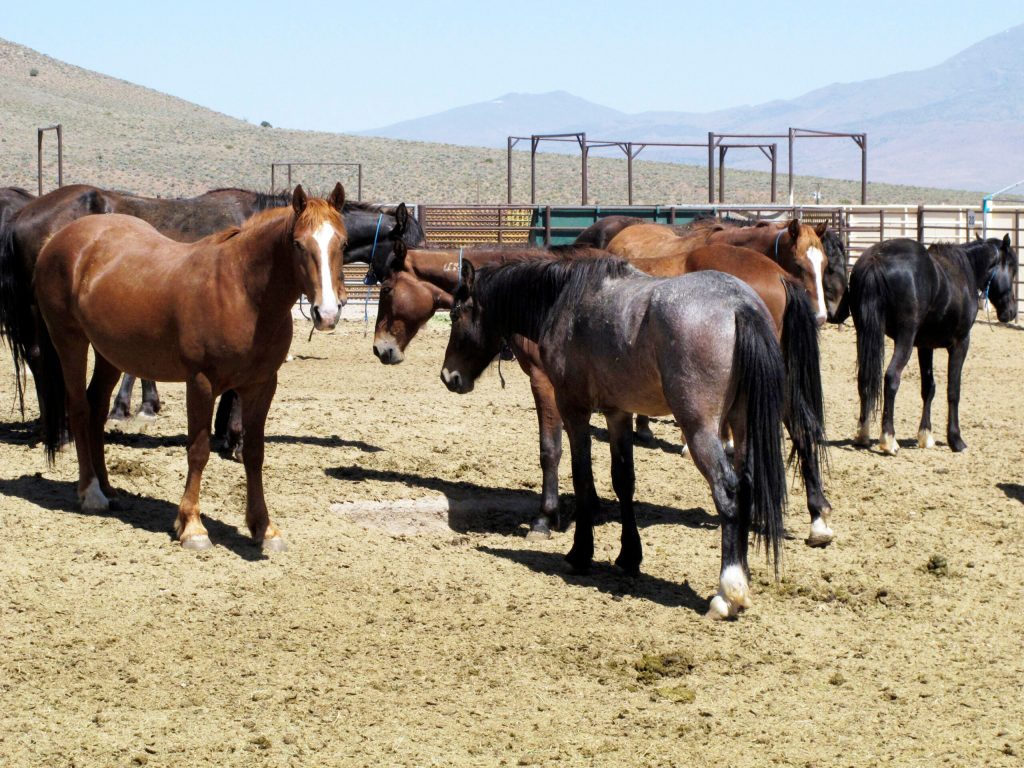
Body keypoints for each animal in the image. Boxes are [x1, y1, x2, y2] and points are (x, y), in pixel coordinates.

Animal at [33, 184, 348, 550]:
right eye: (298, 244)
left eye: (342, 243)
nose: (327, 313)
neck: (242, 290)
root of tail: (58, 239)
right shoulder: (201, 382)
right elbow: (198, 451)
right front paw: (192, 527)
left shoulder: (261, 385)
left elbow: (254, 453)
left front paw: (264, 529)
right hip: (69, 339)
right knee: (80, 408)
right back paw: (91, 492)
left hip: (110, 353)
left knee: (97, 409)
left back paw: (109, 488)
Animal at [441, 257, 787, 619]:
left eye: (455, 315)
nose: (449, 376)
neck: (564, 301)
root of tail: (738, 304)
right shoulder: (618, 413)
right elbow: (623, 481)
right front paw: (628, 557)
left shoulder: (573, 409)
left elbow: (581, 477)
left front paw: (580, 553)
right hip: (742, 425)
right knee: (746, 486)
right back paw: (743, 579)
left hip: (701, 430)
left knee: (728, 492)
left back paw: (728, 592)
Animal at [850, 235, 1018, 455]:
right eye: (1013, 269)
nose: (1012, 312)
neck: (965, 270)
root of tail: (876, 259)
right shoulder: (960, 343)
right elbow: (953, 391)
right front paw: (956, 440)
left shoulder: (925, 346)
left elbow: (928, 388)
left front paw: (925, 435)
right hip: (904, 338)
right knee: (892, 377)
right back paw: (889, 439)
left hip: (864, 333)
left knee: (864, 379)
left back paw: (863, 434)